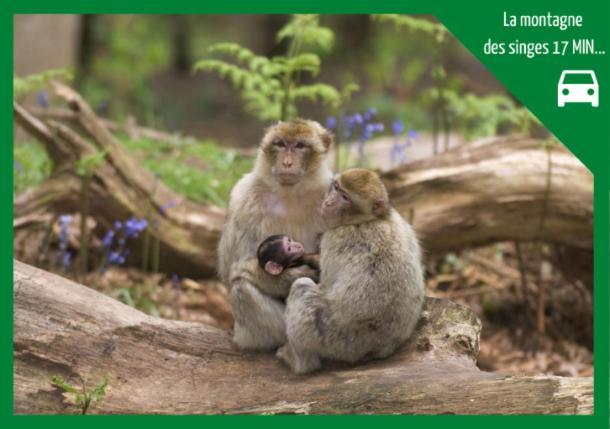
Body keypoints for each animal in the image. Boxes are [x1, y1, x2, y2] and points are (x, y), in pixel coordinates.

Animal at [217, 118, 332, 350]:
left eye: (299, 145)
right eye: (279, 144)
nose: (286, 162)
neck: (292, 193)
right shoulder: (243, 198)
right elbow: (234, 269)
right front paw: (289, 277)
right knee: (242, 288)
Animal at [276, 169, 422, 372]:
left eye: (345, 197)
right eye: (336, 188)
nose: (328, 202)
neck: (370, 219)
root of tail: (378, 346)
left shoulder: (334, 238)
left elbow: (325, 284)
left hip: (336, 339)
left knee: (301, 288)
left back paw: (300, 362)